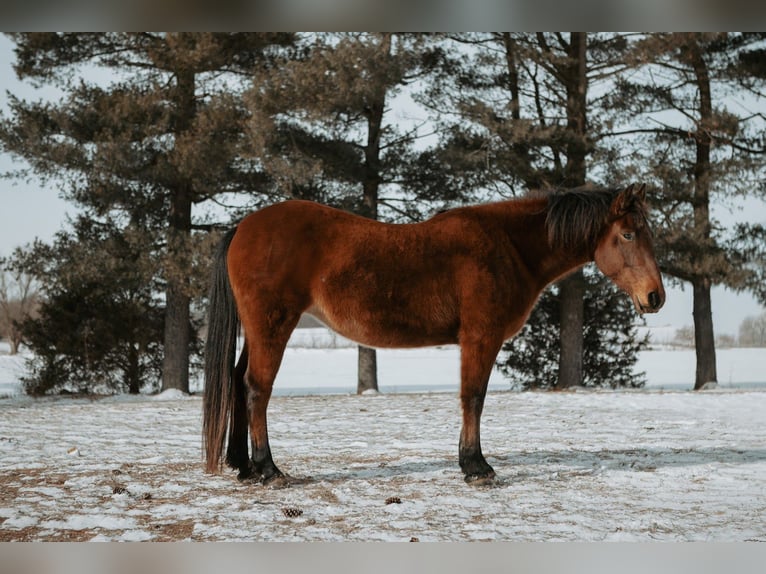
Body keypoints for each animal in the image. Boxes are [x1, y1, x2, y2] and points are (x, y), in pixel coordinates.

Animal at [202, 183, 665, 485]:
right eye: (628, 234)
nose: (655, 296)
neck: (508, 246)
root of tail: (243, 227)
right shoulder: (480, 337)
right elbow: (473, 397)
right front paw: (476, 467)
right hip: (273, 326)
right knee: (257, 389)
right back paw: (268, 470)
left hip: (259, 331)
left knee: (238, 382)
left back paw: (243, 467)